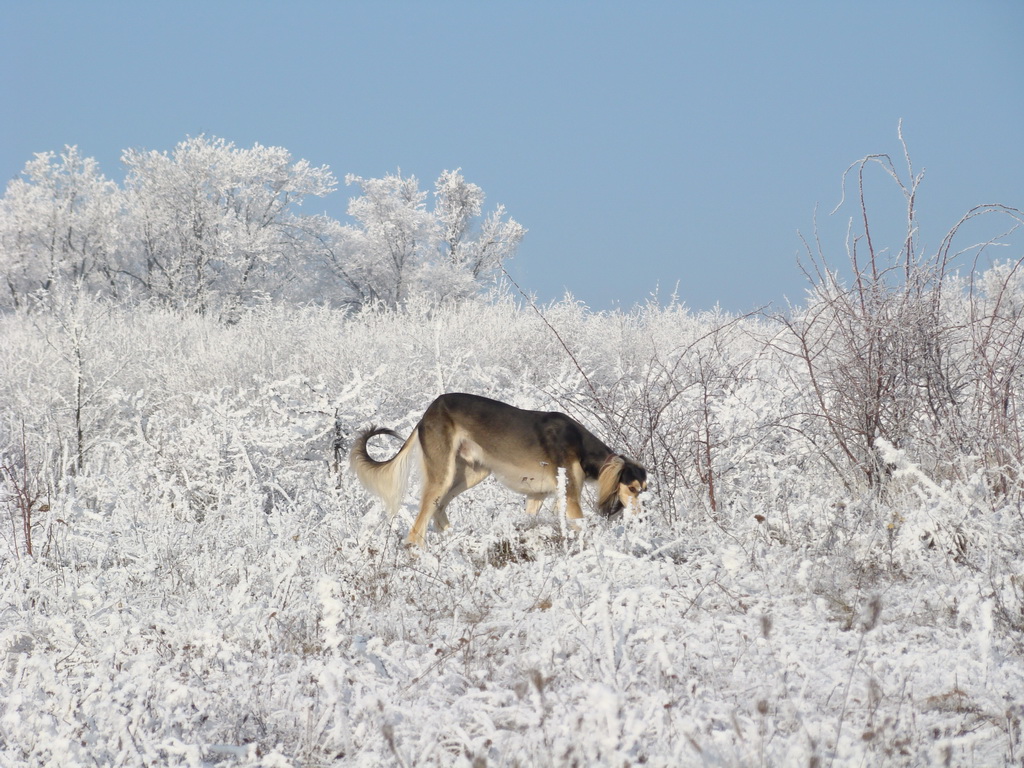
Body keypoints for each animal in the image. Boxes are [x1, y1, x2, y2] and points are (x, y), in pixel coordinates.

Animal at [348, 393, 643, 548]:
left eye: (644, 490)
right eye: (632, 488)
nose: (641, 521)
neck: (580, 444)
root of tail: (429, 410)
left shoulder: (535, 496)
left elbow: (529, 520)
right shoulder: (570, 495)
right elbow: (582, 526)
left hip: (471, 473)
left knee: (439, 510)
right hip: (443, 474)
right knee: (417, 529)